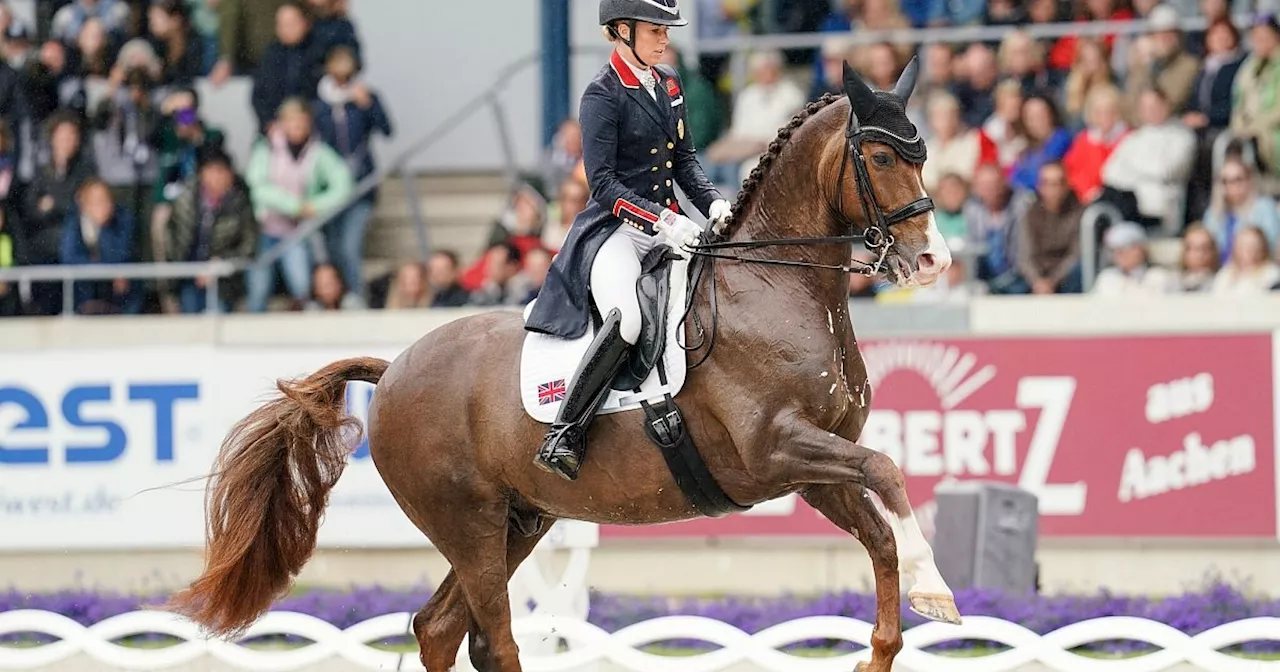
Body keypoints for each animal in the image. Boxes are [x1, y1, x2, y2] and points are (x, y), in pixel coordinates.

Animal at [167, 58, 962, 670]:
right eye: (882, 158)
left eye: (924, 155)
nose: (933, 261)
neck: (774, 285)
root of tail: (392, 371)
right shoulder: (775, 448)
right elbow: (888, 472)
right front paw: (939, 589)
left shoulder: (811, 466)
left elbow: (880, 530)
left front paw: (902, 619)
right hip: (469, 523)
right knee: (490, 637)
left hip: (521, 520)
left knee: (441, 629)